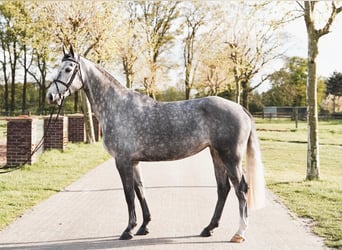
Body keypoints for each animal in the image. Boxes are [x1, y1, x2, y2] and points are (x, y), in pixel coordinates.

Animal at [46, 46, 264, 243]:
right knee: (223, 188)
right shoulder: (133, 162)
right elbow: (140, 190)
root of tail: (240, 108)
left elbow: (128, 194)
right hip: (216, 154)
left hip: (231, 157)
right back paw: (208, 228)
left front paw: (128, 230)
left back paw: (239, 233)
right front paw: (144, 226)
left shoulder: (122, 161)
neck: (117, 107)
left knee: (240, 189)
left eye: (68, 69)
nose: (50, 96)